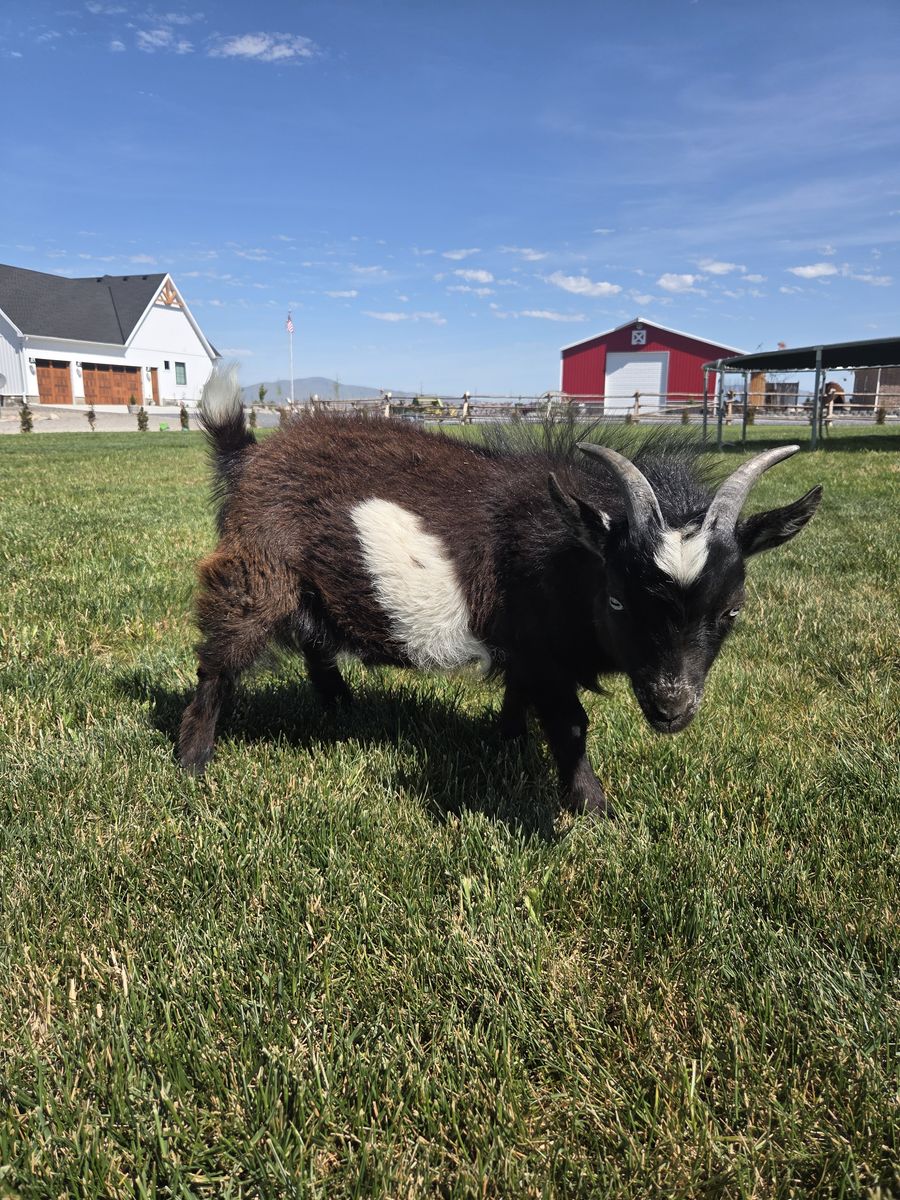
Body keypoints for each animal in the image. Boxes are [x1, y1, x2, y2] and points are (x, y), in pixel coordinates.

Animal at [178, 369, 822, 816]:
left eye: (731, 609)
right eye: (618, 600)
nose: (671, 708)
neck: (573, 550)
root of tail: (247, 455)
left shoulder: (527, 645)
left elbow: (518, 697)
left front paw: (506, 745)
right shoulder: (543, 649)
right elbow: (570, 722)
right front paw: (594, 809)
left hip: (307, 582)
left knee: (314, 641)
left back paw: (340, 707)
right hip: (257, 569)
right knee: (220, 659)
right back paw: (193, 760)